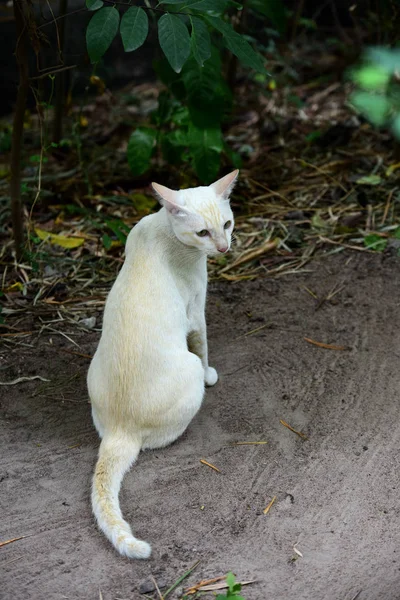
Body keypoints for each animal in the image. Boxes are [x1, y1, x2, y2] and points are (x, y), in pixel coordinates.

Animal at [86, 168, 238, 556]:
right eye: (203, 233)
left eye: (227, 224)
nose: (224, 248)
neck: (161, 228)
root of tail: (119, 431)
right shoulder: (196, 311)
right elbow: (203, 346)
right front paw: (212, 374)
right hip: (187, 375)